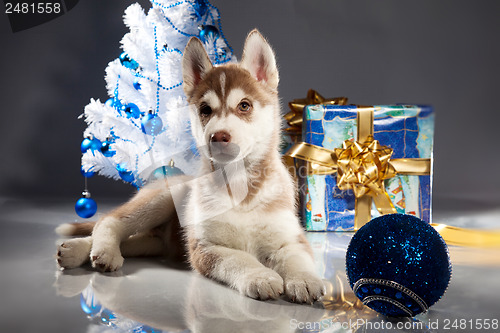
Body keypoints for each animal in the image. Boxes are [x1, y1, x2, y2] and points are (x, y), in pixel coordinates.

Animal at [56, 29, 326, 302]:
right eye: (205, 109)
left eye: (244, 105)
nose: (218, 137)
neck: (240, 187)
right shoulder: (205, 247)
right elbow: (238, 259)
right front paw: (260, 276)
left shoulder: (290, 239)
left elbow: (297, 258)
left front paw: (305, 279)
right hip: (161, 199)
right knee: (110, 220)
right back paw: (97, 251)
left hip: (157, 239)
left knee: (134, 240)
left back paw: (76, 251)